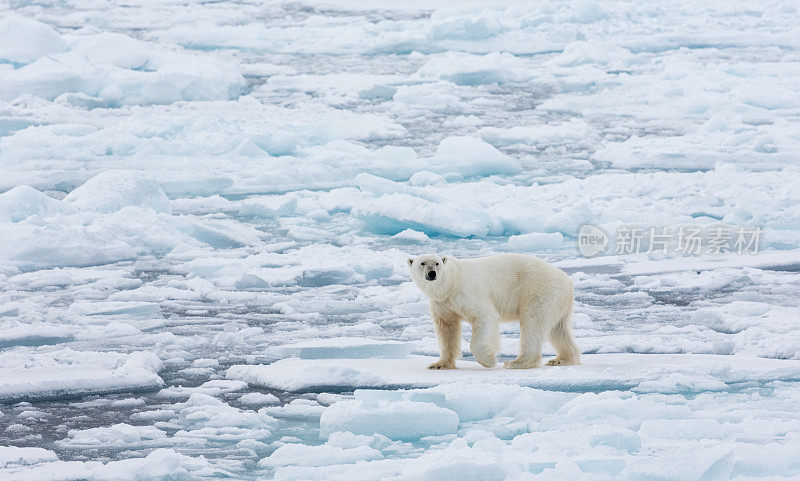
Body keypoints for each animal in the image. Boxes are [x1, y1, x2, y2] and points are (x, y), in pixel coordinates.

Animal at [410, 253, 580, 370]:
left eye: (437, 263)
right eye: (422, 263)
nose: (432, 273)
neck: (452, 283)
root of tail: (568, 281)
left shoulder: (468, 293)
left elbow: (484, 318)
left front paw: (490, 360)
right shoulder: (443, 304)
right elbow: (447, 329)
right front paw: (439, 364)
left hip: (538, 290)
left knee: (533, 324)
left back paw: (517, 362)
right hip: (558, 302)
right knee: (559, 329)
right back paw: (561, 359)